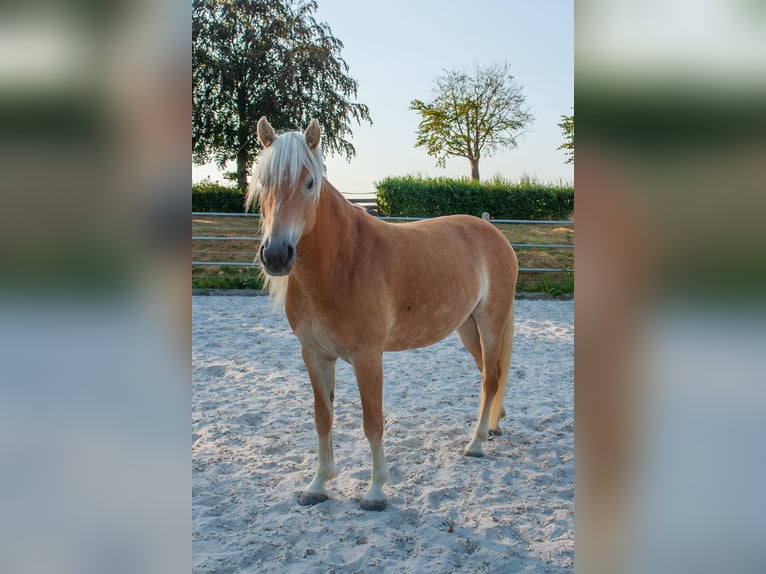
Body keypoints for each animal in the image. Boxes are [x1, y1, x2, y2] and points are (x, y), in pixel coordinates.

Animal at [246, 117, 518, 510]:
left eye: (309, 182)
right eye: (263, 181)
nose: (277, 255)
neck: (343, 262)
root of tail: (494, 232)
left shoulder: (368, 357)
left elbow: (372, 421)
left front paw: (375, 491)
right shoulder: (315, 355)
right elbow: (323, 418)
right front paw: (318, 484)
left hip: (490, 322)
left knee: (492, 378)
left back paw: (476, 443)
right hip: (467, 327)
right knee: (486, 374)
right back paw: (493, 427)